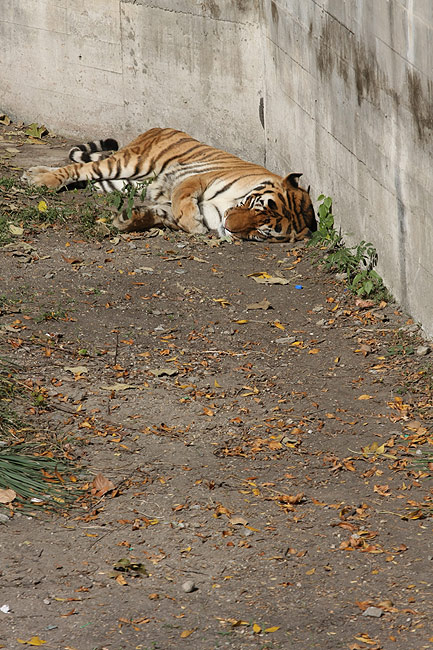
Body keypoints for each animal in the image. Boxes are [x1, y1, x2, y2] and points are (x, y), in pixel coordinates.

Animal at [22, 127, 316, 242]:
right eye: (255, 205)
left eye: (261, 232)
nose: (230, 227)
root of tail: (156, 129)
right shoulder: (197, 178)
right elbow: (182, 200)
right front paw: (195, 225)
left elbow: (160, 213)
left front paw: (126, 219)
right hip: (129, 162)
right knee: (78, 168)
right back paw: (39, 178)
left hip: (122, 181)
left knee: (92, 179)